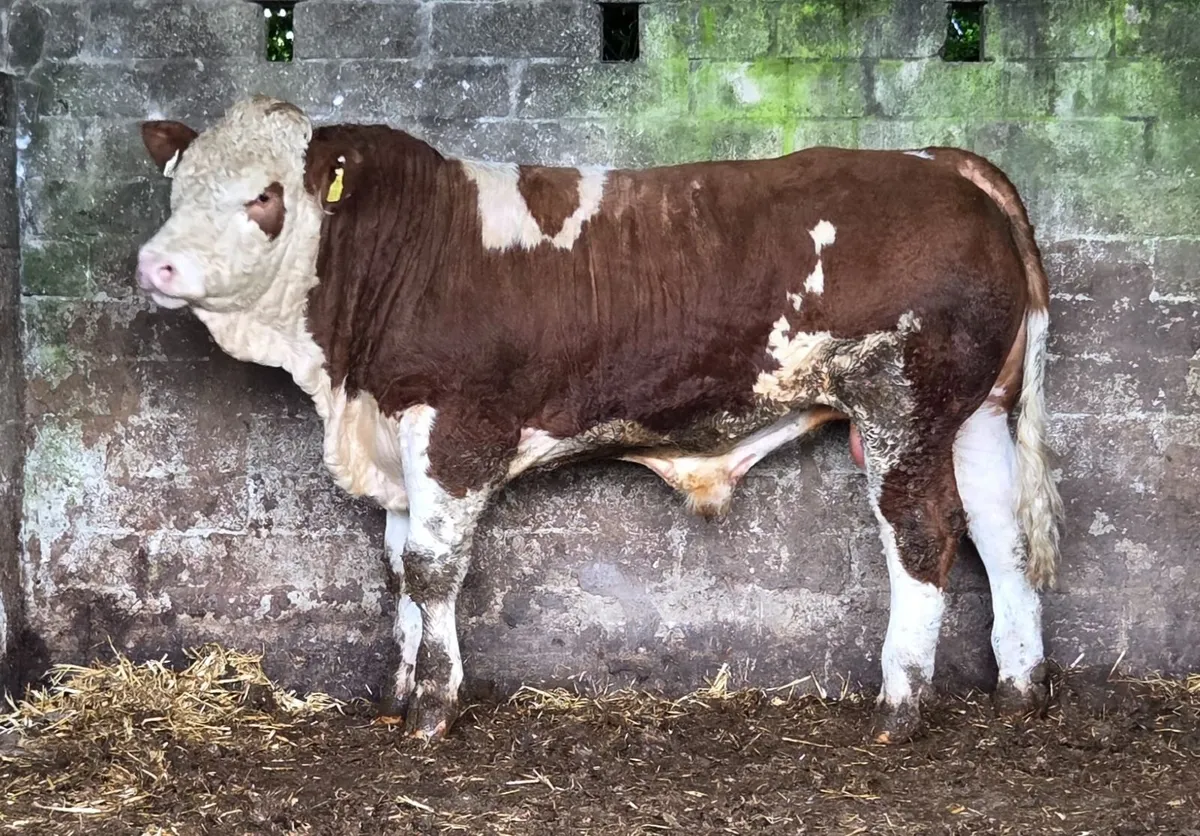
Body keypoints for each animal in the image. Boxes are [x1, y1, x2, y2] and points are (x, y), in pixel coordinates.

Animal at [134, 95, 1063, 745]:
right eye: (175, 186)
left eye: (264, 196)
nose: (156, 262)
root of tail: (940, 162)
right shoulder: (394, 435)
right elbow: (398, 569)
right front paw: (397, 696)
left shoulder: (455, 427)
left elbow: (433, 570)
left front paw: (433, 708)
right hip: (976, 411)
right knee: (1000, 531)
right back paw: (1021, 686)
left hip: (904, 403)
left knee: (923, 532)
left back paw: (899, 705)